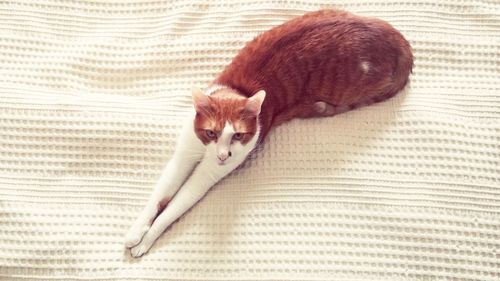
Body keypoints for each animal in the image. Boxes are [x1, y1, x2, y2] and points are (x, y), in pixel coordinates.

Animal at [126, 9, 414, 258]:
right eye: (211, 132)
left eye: (238, 136)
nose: (223, 156)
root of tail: (398, 40)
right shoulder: (183, 157)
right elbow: (159, 197)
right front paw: (135, 232)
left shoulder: (206, 177)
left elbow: (171, 209)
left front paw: (145, 241)